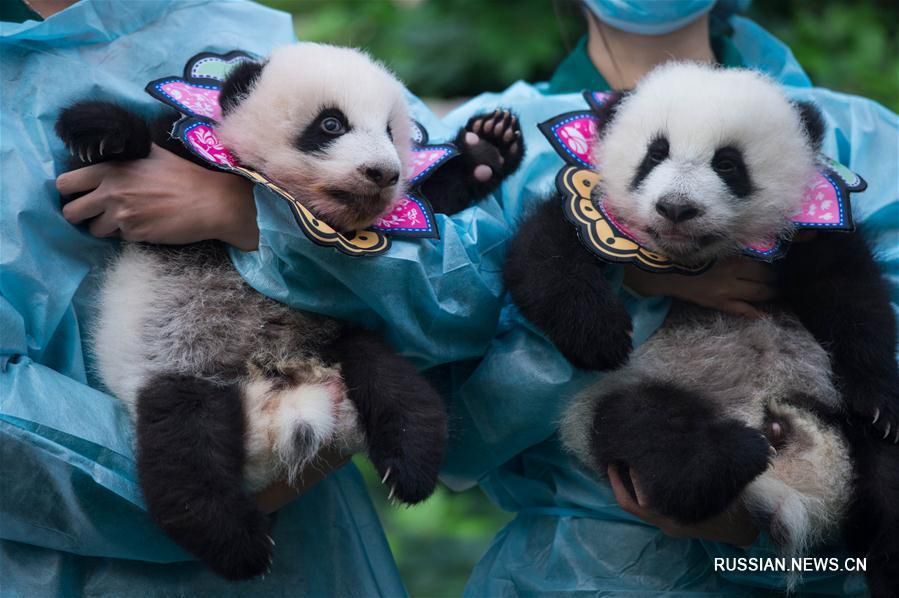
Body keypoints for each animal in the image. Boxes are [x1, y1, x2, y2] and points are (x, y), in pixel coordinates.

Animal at [52, 44, 524, 584]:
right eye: (331, 124)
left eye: (389, 131)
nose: (383, 173)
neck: (280, 196)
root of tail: (280, 388)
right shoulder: (184, 154)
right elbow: (85, 195)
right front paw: (100, 132)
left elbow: (430, 205)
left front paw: (487, 151)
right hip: (181, 369)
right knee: (185, 450)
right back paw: (238, 544)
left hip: (336, 336)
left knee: (395, 385)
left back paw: (409, 465)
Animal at [510, 63, 896, 596]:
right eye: (656, 153)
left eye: (728, 164)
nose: (676, 208)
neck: (695, 256)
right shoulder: (590, 210)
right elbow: (545, 251)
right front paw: (597, 335)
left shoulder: (807, 234)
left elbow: (852, 294)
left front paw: (877, 401)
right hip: (617, 403)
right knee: (650, 429)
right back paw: (731, 454)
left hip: (830, 416)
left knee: (885, 479)